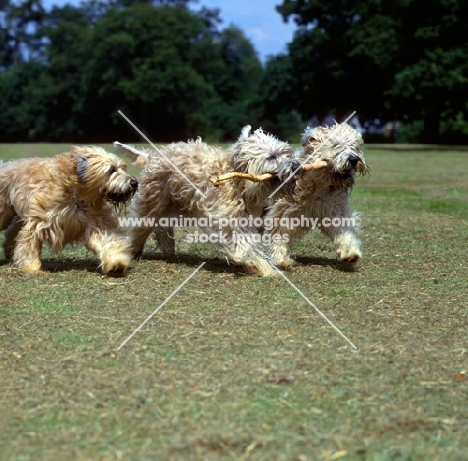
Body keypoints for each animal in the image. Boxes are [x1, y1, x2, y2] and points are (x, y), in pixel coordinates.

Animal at [0, 146, 138, 274]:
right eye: (111, 170)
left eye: (123, 168)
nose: (134, 183)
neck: (76, 194)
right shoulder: (38, 220)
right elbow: (30, 243)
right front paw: (32, 267)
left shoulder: (97, 221)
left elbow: (109, 239)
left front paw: (116, 263)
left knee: (12, 231)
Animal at [113, 125, 300, 276]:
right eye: (272, 157)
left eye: (285, 153)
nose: (297, 166)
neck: (240, 181)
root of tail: (152, 155)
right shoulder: (229, 220)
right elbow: (245, 245)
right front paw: (264, 268)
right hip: (153, 201)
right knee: (141, 226)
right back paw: (135, 249)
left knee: (161, 225)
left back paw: (167, 246)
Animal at [264, 122, 370, 268]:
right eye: (336, 145)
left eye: (356, 146)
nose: (353, 159)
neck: (318, 184)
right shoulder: (282, 212)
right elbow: (278, 233)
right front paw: (281, 259)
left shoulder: (334, 210)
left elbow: (344, 230)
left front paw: (350, 252)